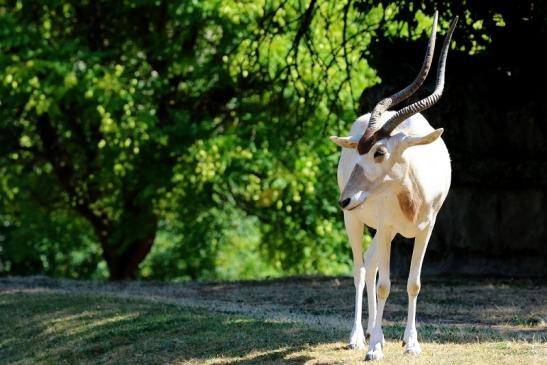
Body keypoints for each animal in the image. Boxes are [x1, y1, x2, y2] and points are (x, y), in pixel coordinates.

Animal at [330, 12, 458, 360]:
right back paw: (359, 336)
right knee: (362, 270)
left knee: (371, 263)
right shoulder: (387, 228)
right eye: (360, 151)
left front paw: (410, 342)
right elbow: (384, 284)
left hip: (377, 228)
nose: (345, 199)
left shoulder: (427, 229)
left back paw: (375, 332)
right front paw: (374, 348)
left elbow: (413, 283)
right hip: (356, 221)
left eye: (379, 152)